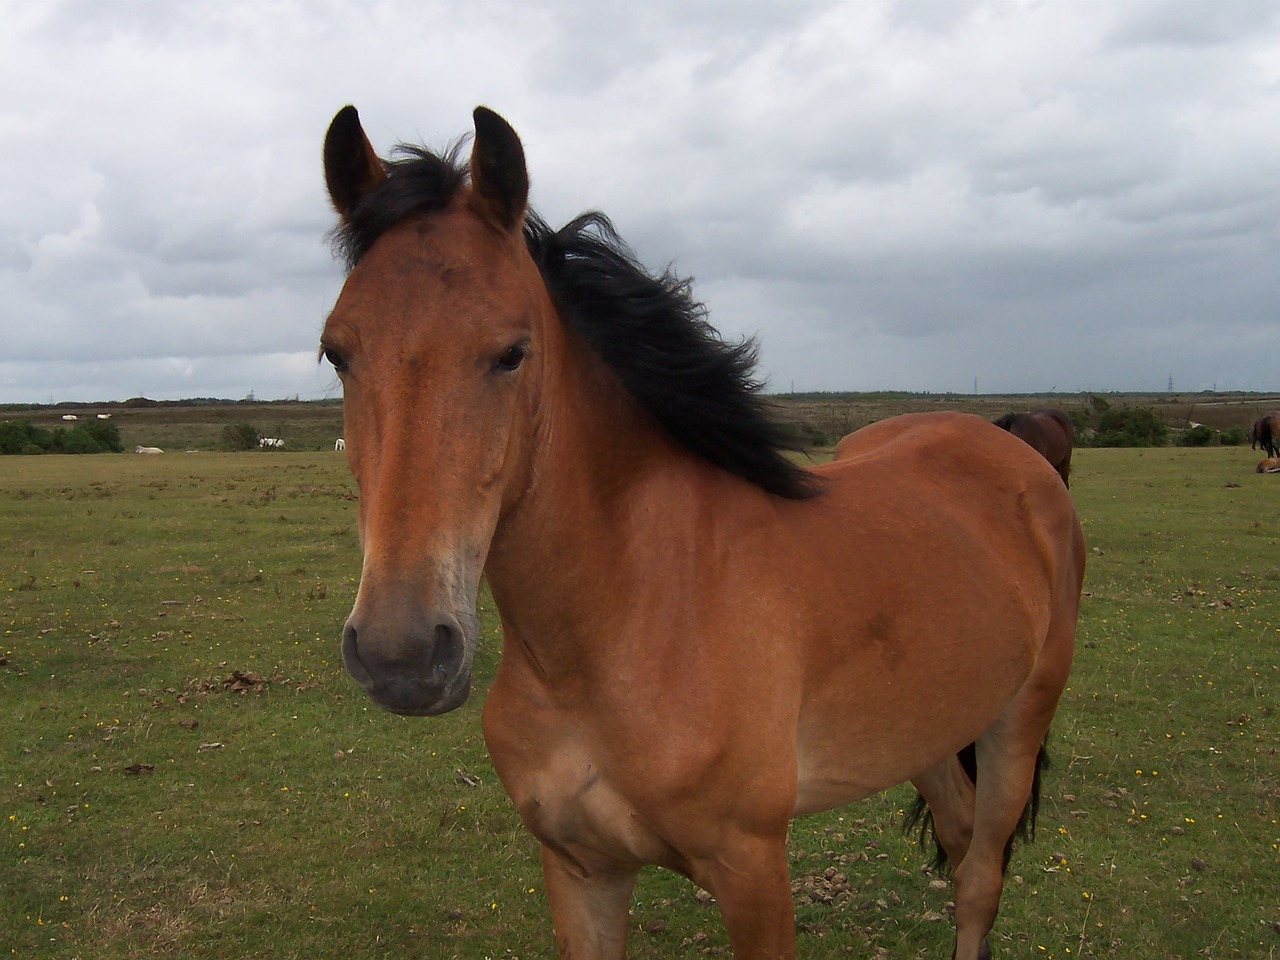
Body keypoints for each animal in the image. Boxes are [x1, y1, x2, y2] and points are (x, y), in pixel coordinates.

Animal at [317, 104, 1080, 960]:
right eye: (336, 351)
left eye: (512, 353)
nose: (403, 655)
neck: (622, 626)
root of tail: (1013, 452)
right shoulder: (581, 869)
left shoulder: (752, 873)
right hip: (930, 724)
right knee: (956, 835)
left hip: (1018, 721)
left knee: (980, 877)